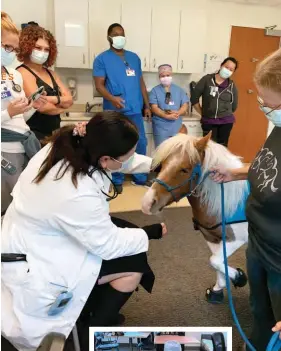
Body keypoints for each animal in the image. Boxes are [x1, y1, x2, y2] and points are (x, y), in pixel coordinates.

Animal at [142, 133, 247, 304]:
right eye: (162, 165)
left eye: (185, 169)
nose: (147, 203)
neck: (225, 202)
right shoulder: (212, 238)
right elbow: (218, 262)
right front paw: (218, 289)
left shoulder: (236, 240)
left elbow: (214, 260)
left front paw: (239, 277)